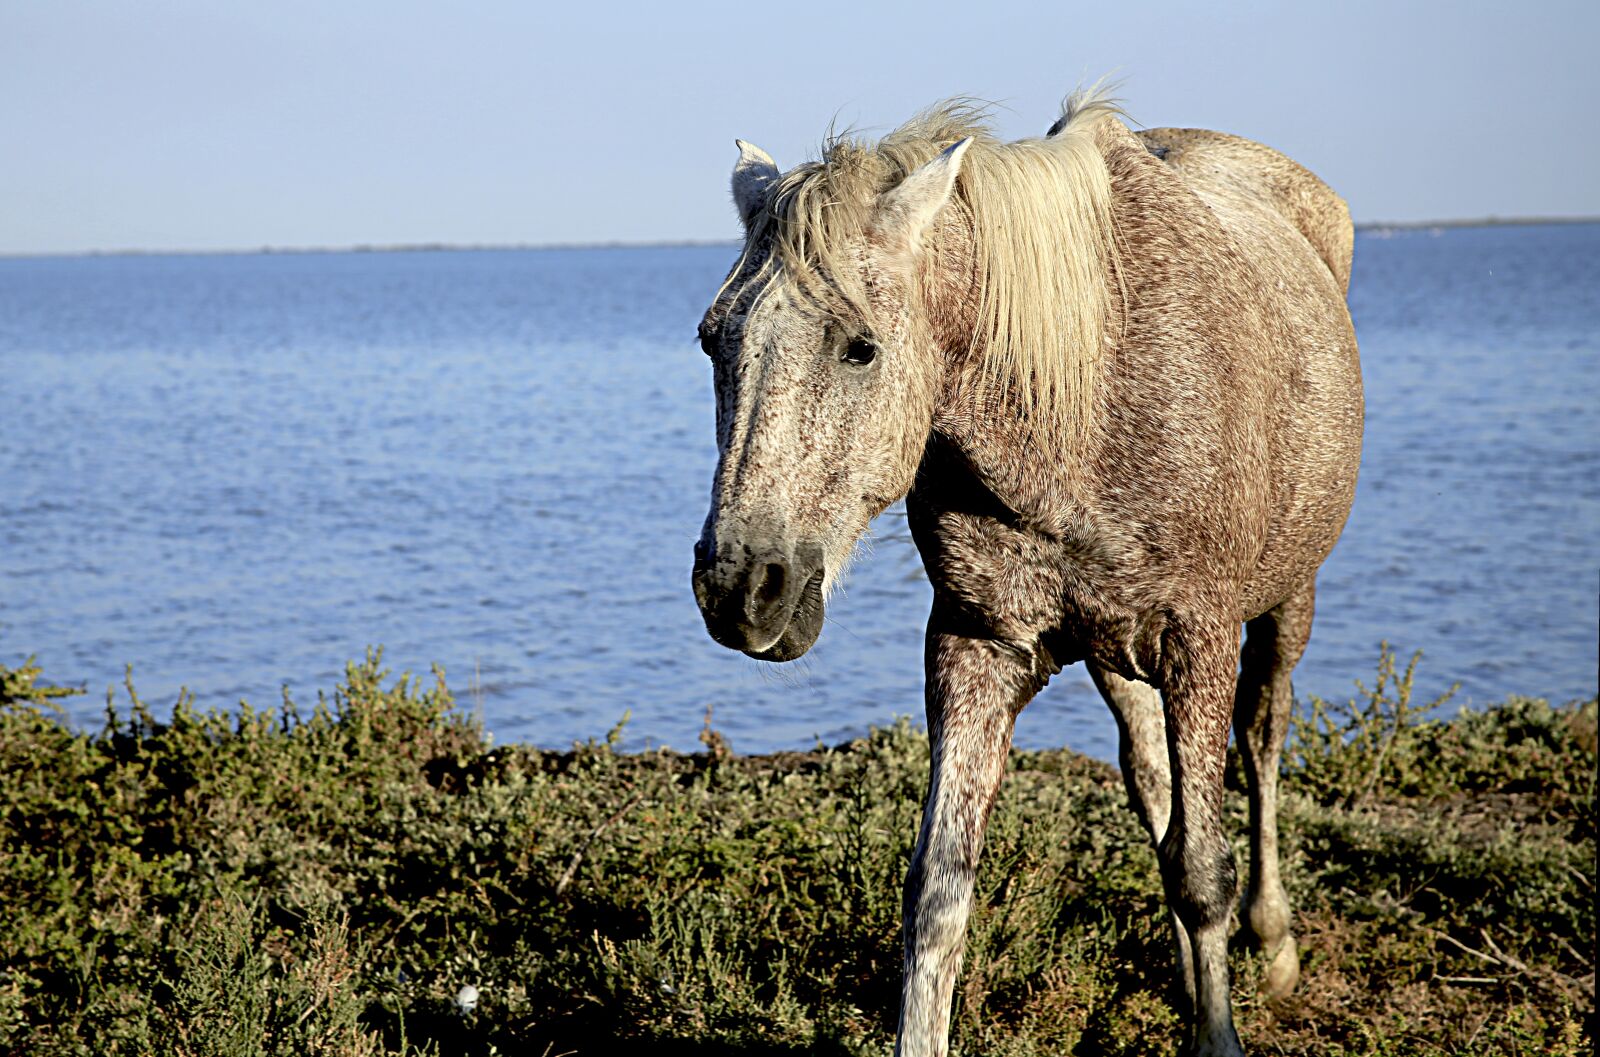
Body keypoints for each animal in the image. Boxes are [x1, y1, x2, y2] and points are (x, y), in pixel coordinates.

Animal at [689, 88, 1362, 1057]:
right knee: (1152, 778)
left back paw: (1271, 946)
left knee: (1263, 743)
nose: (743, 588)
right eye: (714, 341)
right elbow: (938, 893)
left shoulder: (1199, 638)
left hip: (1283, 603)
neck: (1077, 405)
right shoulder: (977, 644)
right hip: (1118, 655)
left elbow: (1205, 868)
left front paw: (1220, 1024)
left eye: (861, 347)